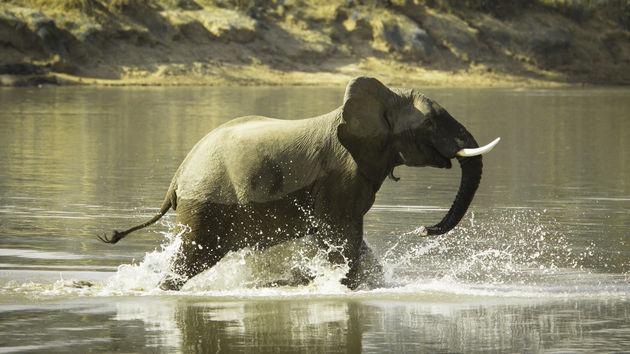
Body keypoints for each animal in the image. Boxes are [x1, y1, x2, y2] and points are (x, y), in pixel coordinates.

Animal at [101, 77, 502, 290]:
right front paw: (343, 287)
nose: (422, 230)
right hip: (205, 205)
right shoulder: (342, 175)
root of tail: (178, 175)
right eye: (430, 124)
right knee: (193, 257)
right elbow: (342, 234)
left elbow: (351, 238)